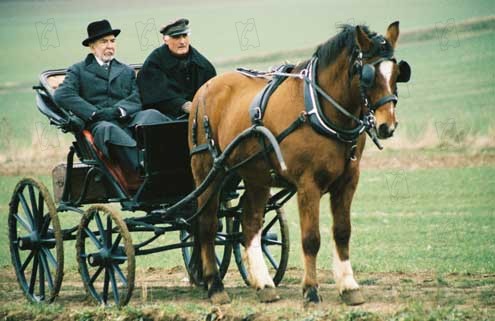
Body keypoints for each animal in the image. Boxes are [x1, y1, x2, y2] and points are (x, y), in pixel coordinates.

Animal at [188, 21, 412, 304]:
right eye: (368, 76)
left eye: (397, 73)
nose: (387, 126)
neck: (319, 109)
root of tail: (204, 90)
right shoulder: (308, 184)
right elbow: (311, 238)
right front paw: (311, 290)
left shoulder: (348, 182)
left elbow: (342, 232)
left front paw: (349, 287)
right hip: (208, 171)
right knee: (206, 224)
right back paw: (215, 286)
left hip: (256, 176)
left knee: (250, 222)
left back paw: (264, 284)